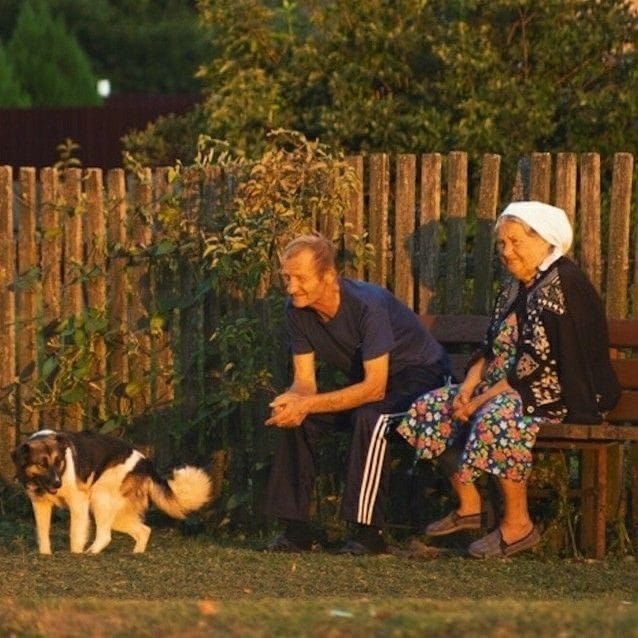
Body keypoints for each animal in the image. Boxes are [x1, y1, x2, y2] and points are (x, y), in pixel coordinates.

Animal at [11, 432, 212, 556]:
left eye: (59, 461)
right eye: (41, 464)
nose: (57, 483)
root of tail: (147, 464)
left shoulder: (78, 503)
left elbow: (75, 535)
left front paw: (75, 555)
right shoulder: (40, 505)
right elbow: (43, 534)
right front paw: (45, 555)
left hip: (99, 498)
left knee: (105, 535)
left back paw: (90, 553)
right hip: (115, 514)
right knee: (144, 530)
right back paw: (137, 554)